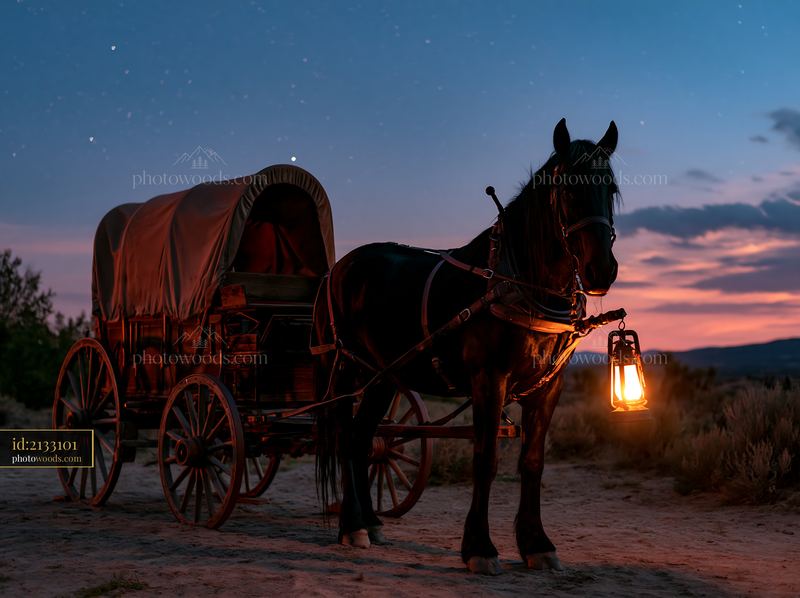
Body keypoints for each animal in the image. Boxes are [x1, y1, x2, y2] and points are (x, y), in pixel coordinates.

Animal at [313, 118, 619, 575]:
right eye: (567, 189)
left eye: (611, 188)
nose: (602, 269)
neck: (517, 281)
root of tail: (338, 269)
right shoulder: (488, 379)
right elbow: (485, 459)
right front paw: (479, 546)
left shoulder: (549, 387)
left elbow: (532, 462)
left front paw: (536, 543)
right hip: (350, 368)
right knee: (345, 436)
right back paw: (352, 526)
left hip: (384, 376)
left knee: (361, 438)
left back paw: (369, 523)